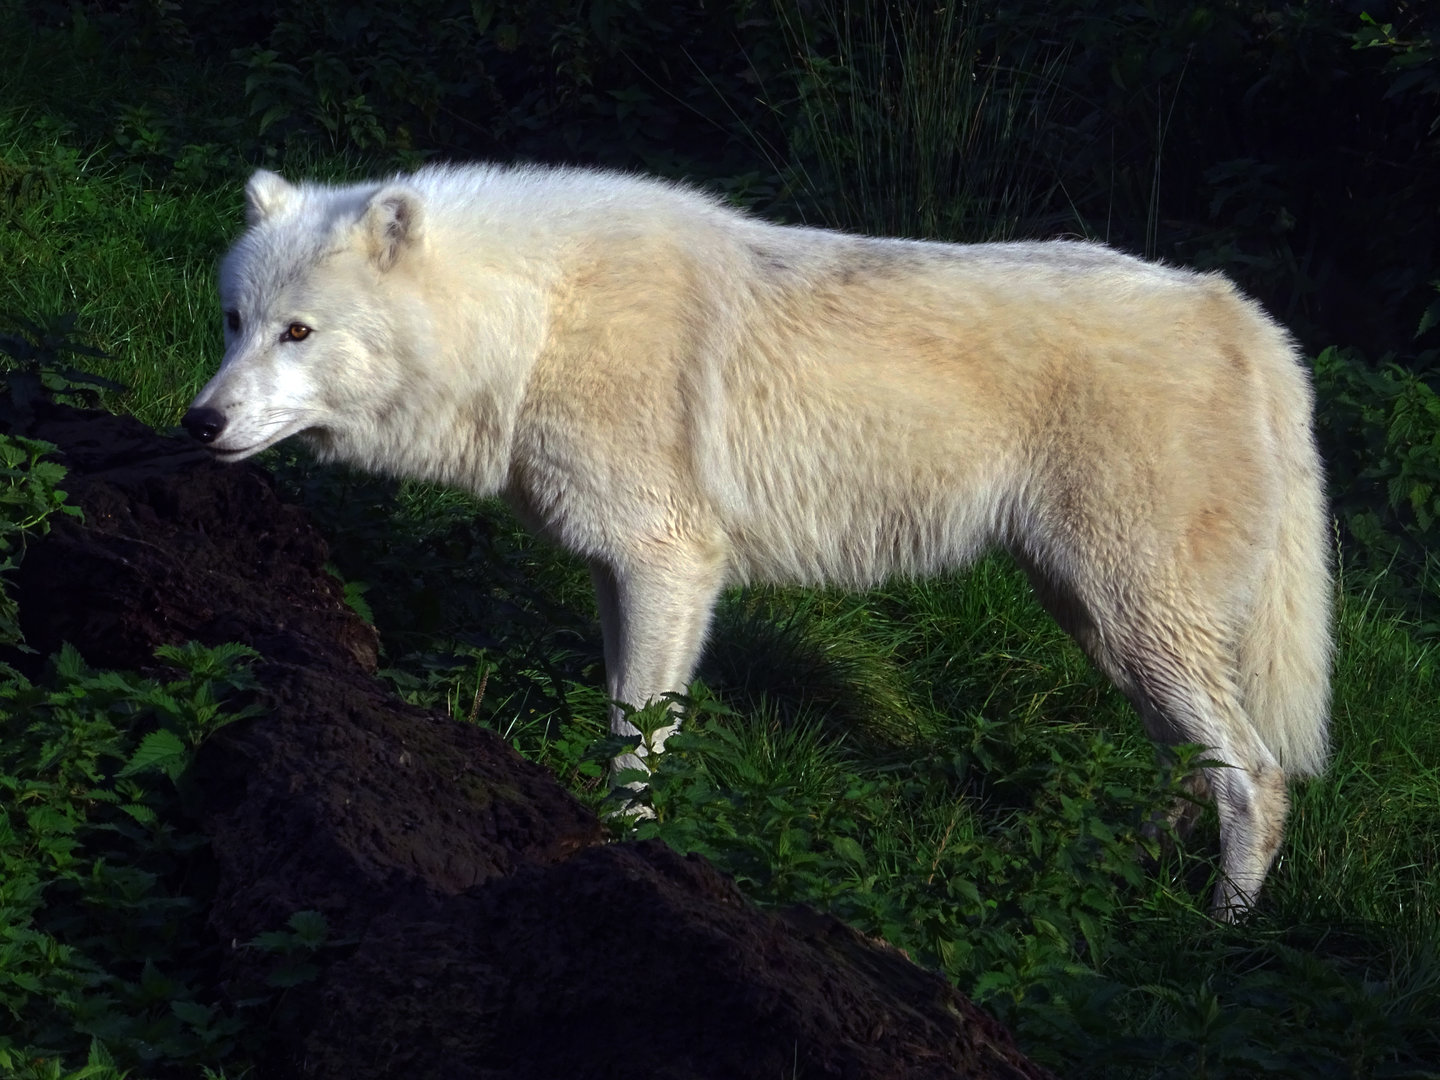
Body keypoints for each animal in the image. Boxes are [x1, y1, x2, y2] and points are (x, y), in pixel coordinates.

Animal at [183, 162, 1332, 919]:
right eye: (235, 321)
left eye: (299, 333)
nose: (198, 424)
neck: (535, 326)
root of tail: (1247, 319)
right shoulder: (622, 576)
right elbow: (628, 716)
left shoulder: (670, 566)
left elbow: (638, 738)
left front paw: (631, 854)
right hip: (1102, 623)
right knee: (1192, 768)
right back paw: (1117, 875)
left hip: (1134, 620)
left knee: (1256, 777)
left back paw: (1214, 939)